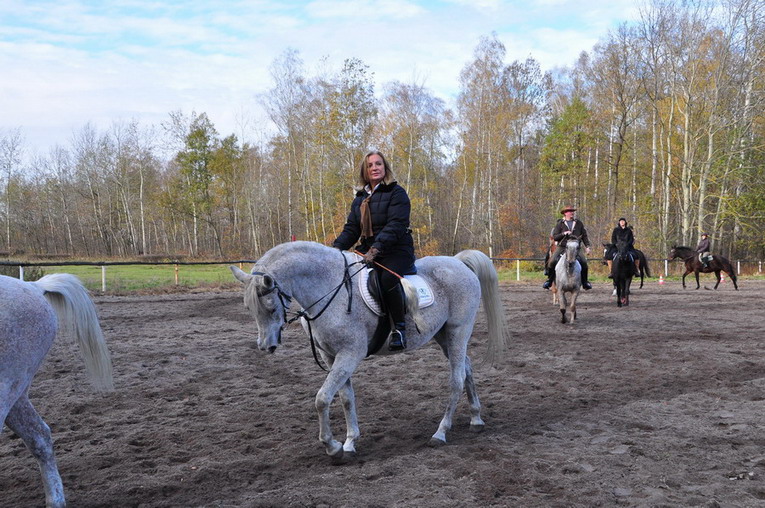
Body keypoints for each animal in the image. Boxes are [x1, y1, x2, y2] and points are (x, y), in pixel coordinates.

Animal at [230, 241, 509, 461]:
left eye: (269, 306)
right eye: (248, 308)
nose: (266, 346)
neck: (329, 289)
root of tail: (458, 262)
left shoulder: (349, 355)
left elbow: (322, 398)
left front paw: (332, 447)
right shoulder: (332, 357)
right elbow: (345, 398)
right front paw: (349, 443)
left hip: (458, 331)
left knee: (456, 378)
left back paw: (440, 432)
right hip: (444, 336)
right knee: (467, 368)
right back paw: (476, 419)